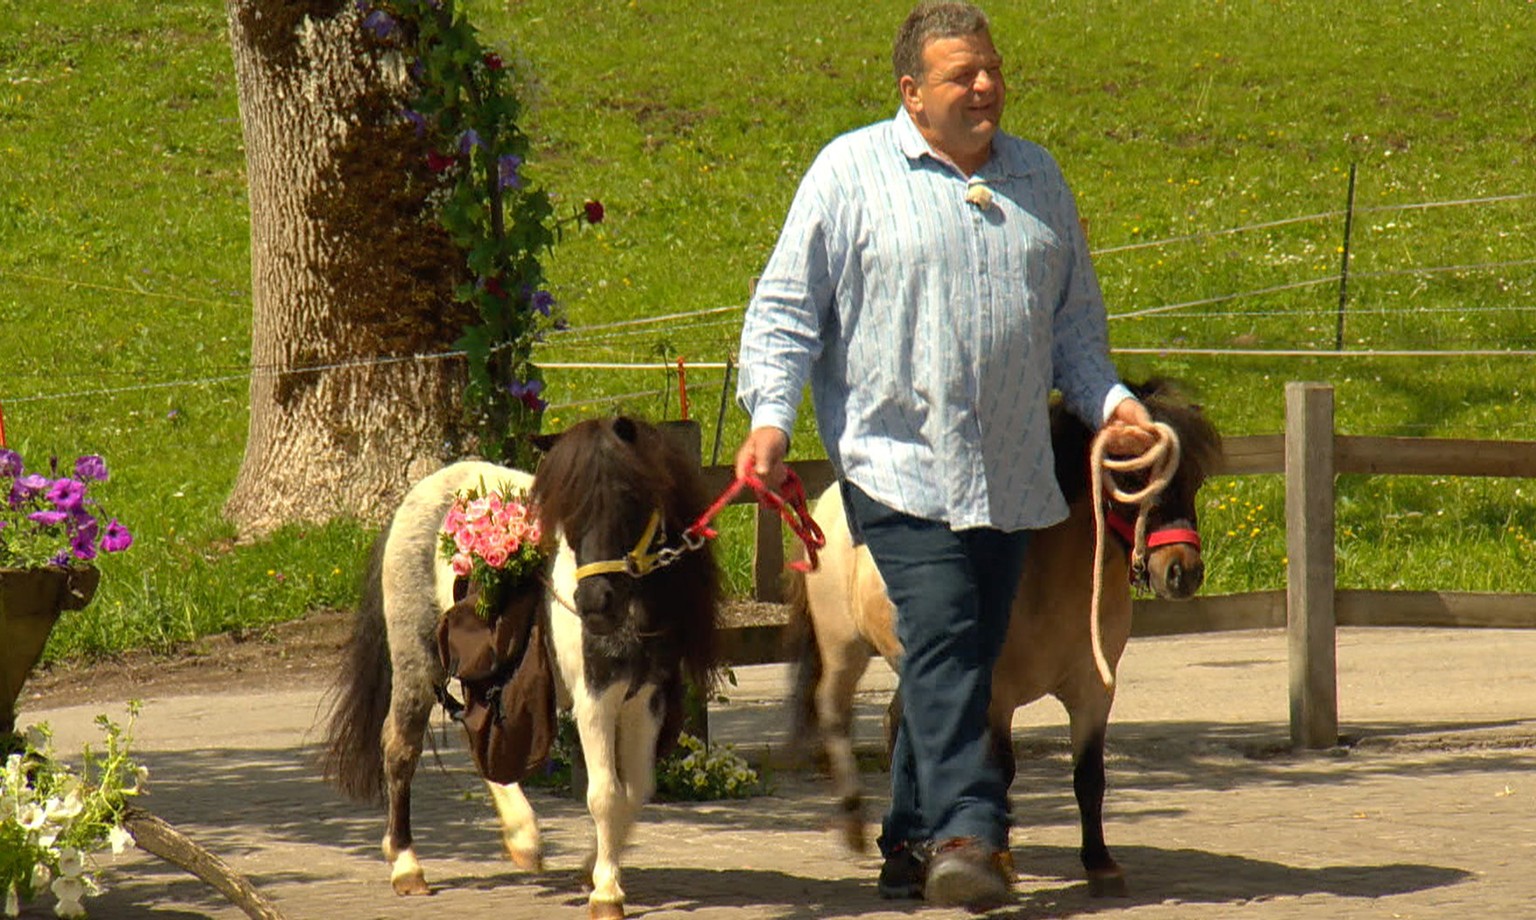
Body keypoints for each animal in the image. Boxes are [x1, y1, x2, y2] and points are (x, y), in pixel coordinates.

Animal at [319, 420, 724, 920]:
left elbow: (635, 790)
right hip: (418, 663)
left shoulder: (646, 699)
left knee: (479, 738)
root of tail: (416, 498)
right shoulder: (595, 699)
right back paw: (408, 866)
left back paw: (522, 838)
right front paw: (606, 893)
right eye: (564, 510)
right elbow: (605, 794)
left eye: (628, 493)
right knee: (400, 749)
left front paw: (592, 868)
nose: (593, 602)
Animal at [786, 380, 1216, 896]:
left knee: (898, 726)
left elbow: (1089, 777)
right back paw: (854, 824)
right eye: (1132, 480)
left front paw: (1100, 863)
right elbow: (1000, 771)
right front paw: (1001, 860)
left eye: (1194, 480)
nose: (1182, 571)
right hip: (843, 649)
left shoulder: (1094, 693)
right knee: (835, 713)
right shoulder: (997, 694)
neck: (1051, 581)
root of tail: (825, 507)